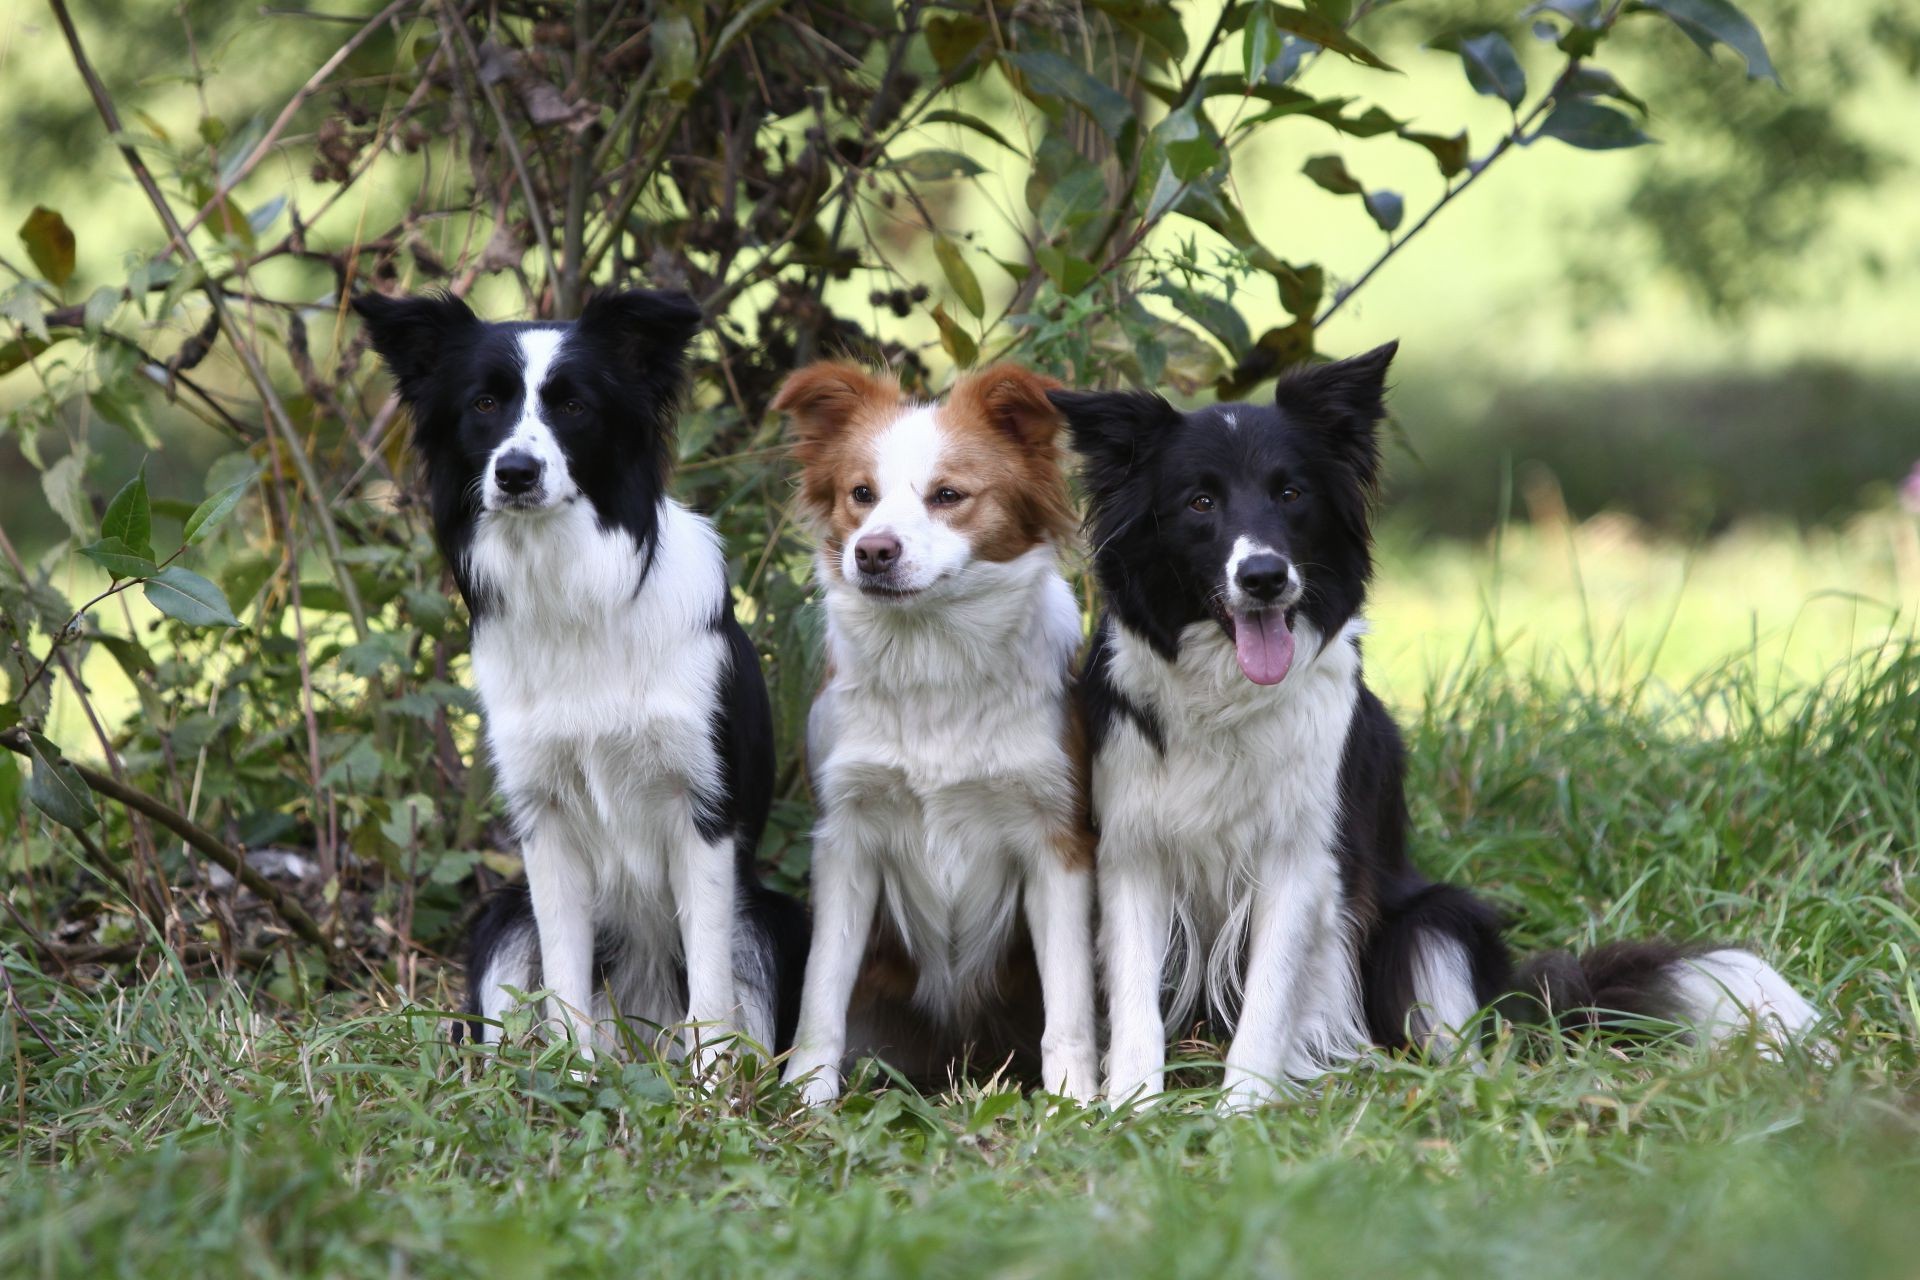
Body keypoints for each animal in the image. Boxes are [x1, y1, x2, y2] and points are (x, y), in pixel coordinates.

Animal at [357, 287, 806, 1059]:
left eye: (573, 406)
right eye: (484, 404)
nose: (515, 472)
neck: (572, 590)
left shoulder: (703, 816)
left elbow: (711, 994)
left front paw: (706, 1086)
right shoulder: (548, 822)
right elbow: (566, 985)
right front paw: (572, 1076)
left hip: (771, 921)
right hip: (502, 920)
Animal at [764, 360, 1098, 1105]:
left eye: (949, 496)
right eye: (861, 494)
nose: (872, 551)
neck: (933, 657)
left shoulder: (1055, 840)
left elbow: (1069, 1002)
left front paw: (1074, 1103)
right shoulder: (847, 837)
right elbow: (821, 992)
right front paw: (805, 1098)